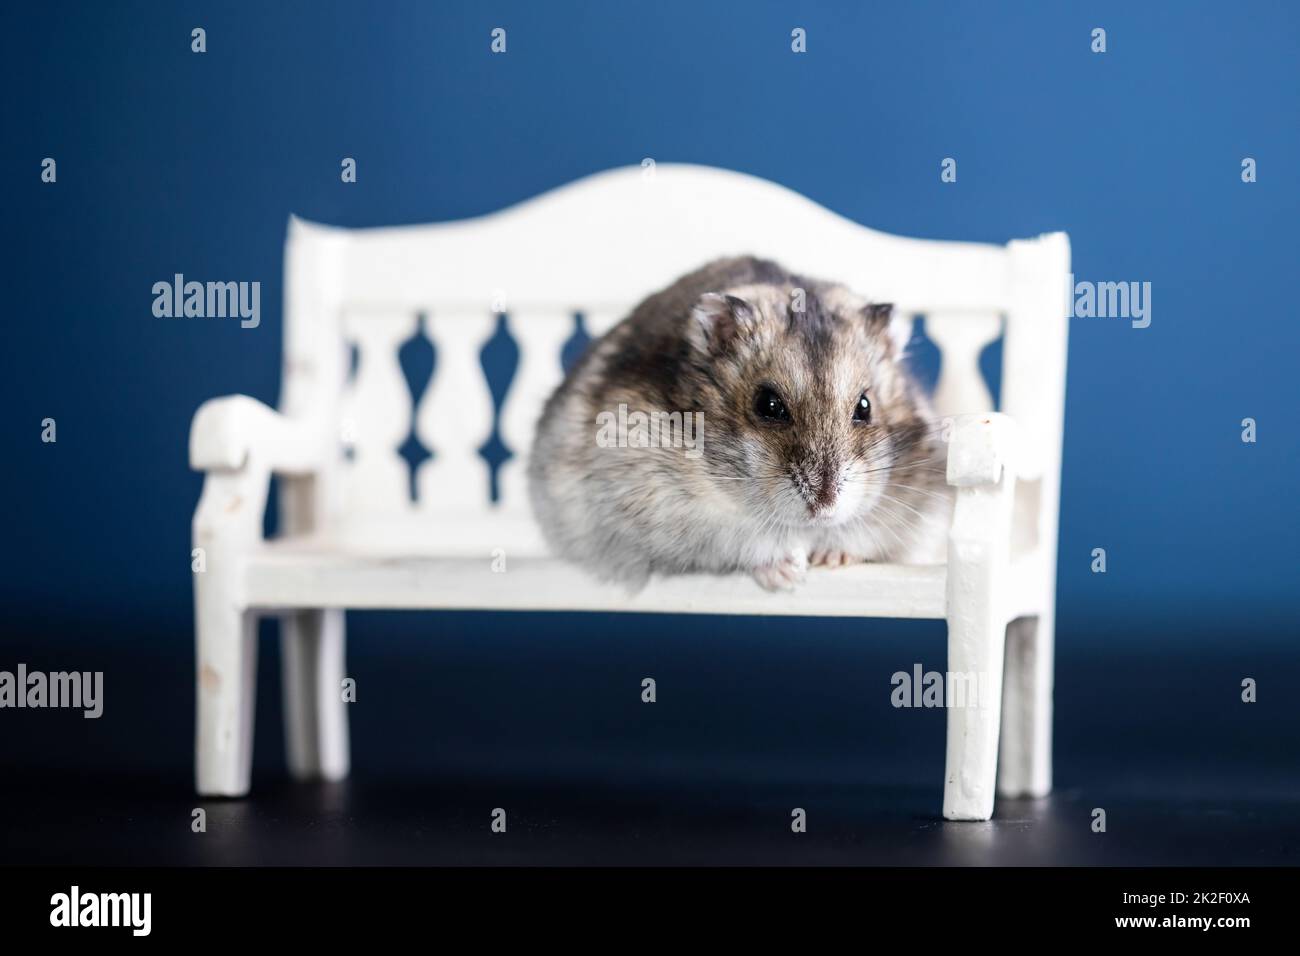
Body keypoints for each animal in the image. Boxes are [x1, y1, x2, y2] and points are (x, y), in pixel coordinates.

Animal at [530, 254, 956, 590]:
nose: (824, 505)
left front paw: (829, 557)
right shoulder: (663, 505)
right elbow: (748, 539)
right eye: (768, 404)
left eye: (865, 406)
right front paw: (789, 572)